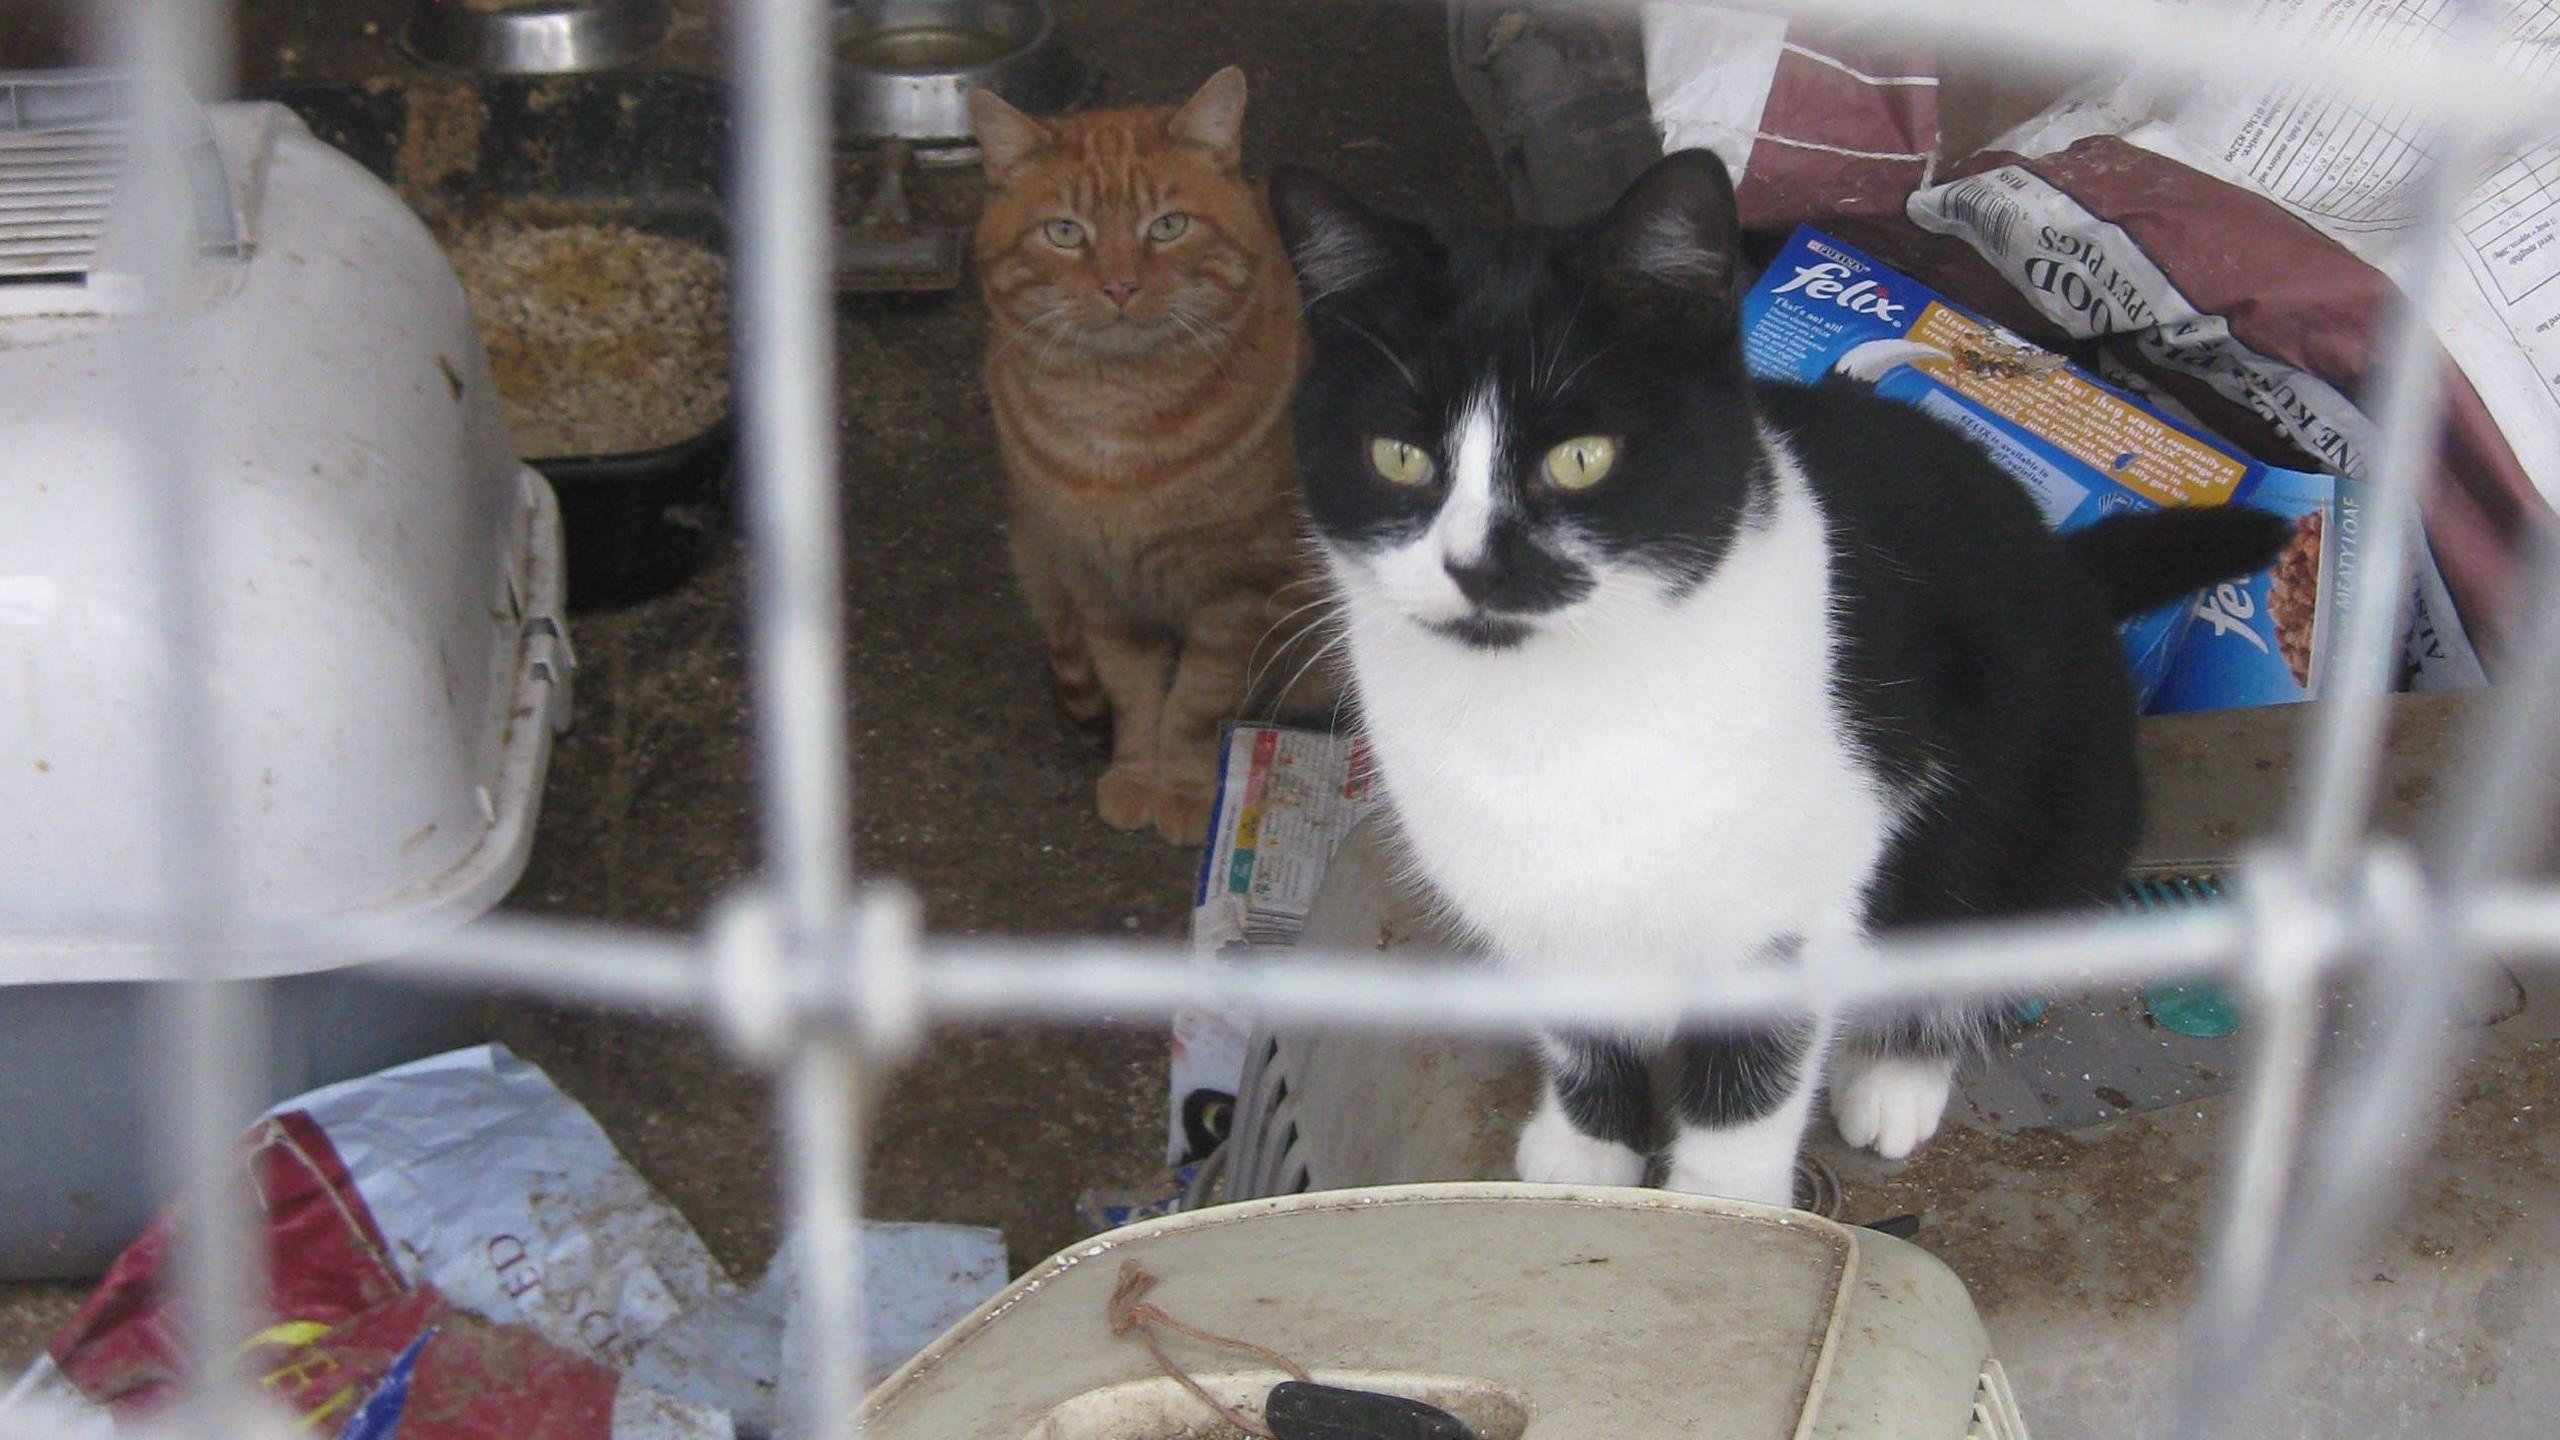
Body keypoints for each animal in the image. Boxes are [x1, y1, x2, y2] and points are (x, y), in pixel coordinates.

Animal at [972, 70, 1341, 840]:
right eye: (1065, 233)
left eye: (1168, 226)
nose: (1119, 285)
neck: (1119, 417)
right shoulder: (1097, 583)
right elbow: (1136, 694)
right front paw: (1138, 775)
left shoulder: (1237, 590)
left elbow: (1196, 703)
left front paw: (1186, 789)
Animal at [1269, 148, 2293, 1199]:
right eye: (1399, 457)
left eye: (1581, 458)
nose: (1472, 566)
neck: (1558, 711)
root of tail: (2063, 558)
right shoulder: (1531, 896)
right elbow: (1580, 1030)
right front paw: (1586, 1160)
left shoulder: (1793, 906)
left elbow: (1750, 1082)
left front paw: (1723, 1212)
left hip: (2055, 812)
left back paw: (1895, 1073)